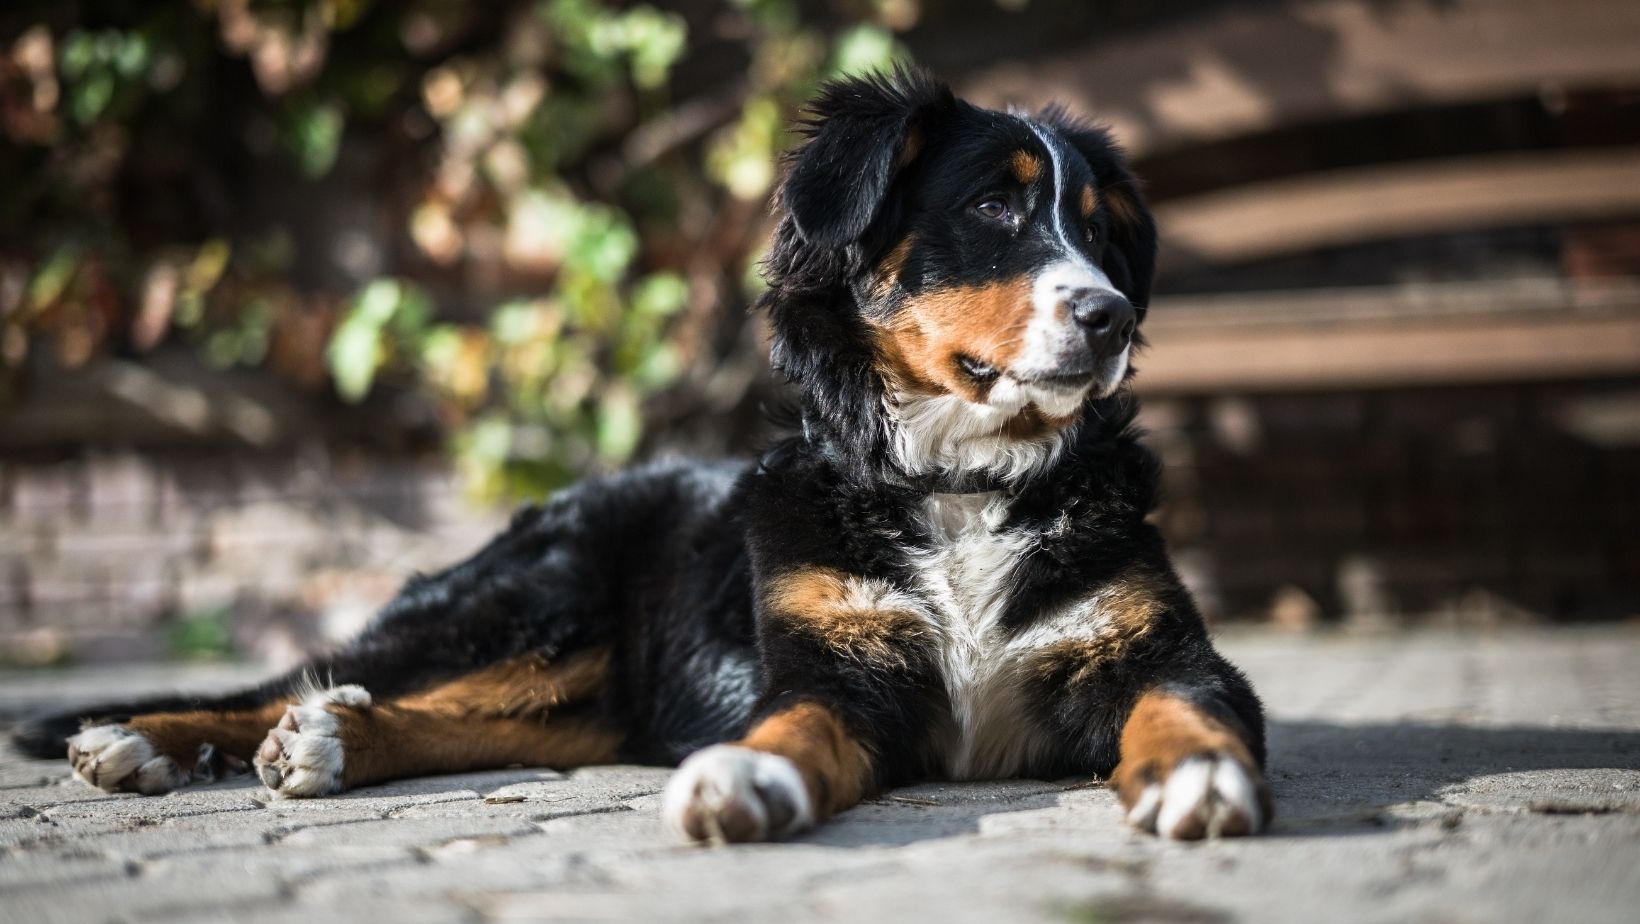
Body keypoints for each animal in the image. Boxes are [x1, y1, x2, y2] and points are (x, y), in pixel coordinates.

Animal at [9, 68, 1266, 840]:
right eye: (996, 211)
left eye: (1101, 230)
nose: (1108, 315)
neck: (959, 486)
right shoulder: (833, 671)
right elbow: (791, 726)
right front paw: (748, 777)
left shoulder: (1160, 650)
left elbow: (1183, 706)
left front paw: (1195, 775)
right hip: (533, 602)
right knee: (304, 678)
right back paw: (141, 739)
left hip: (582, 683)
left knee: (450, 717)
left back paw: (329, 742)